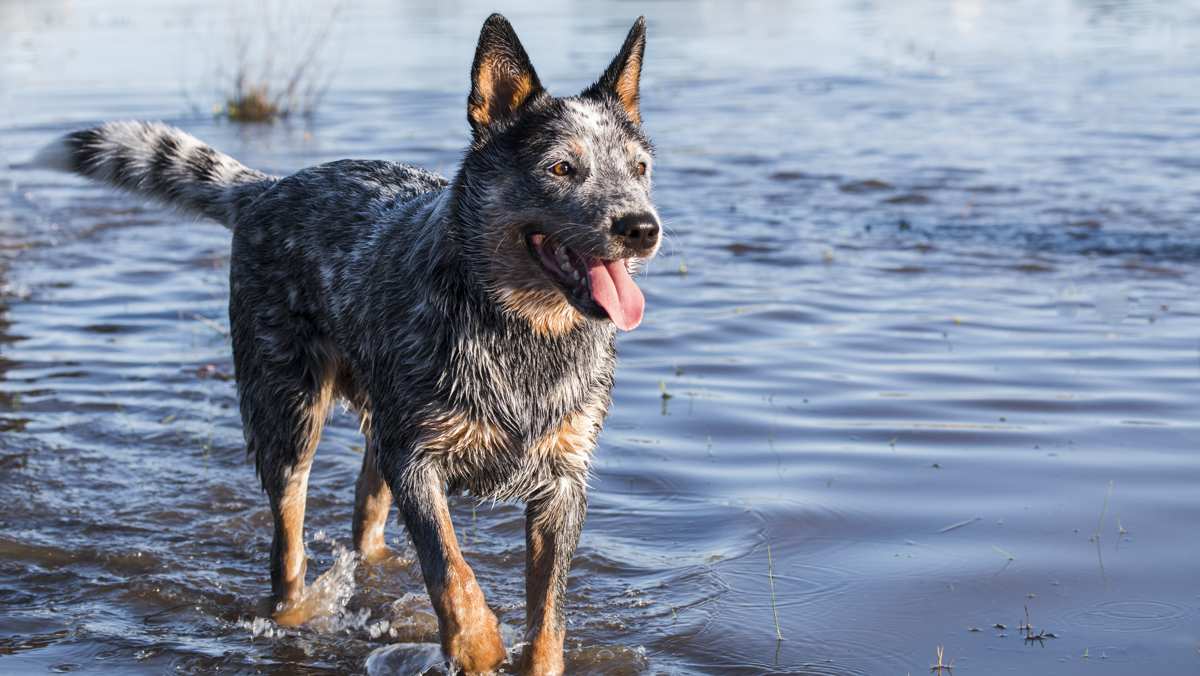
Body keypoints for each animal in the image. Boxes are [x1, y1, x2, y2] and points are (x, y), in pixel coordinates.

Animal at [35, 11, 667, 676]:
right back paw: (293, 613)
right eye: (561, 168)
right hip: (290, 419)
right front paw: (476, 644)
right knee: (286, 548)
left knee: (366, 512)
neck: (522, 332)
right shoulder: (418, 458)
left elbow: (549, 615)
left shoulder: (563, 481)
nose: (642, 228)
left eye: (639, 168)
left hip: (379, 419)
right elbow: (450, 568)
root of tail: (267, 189)